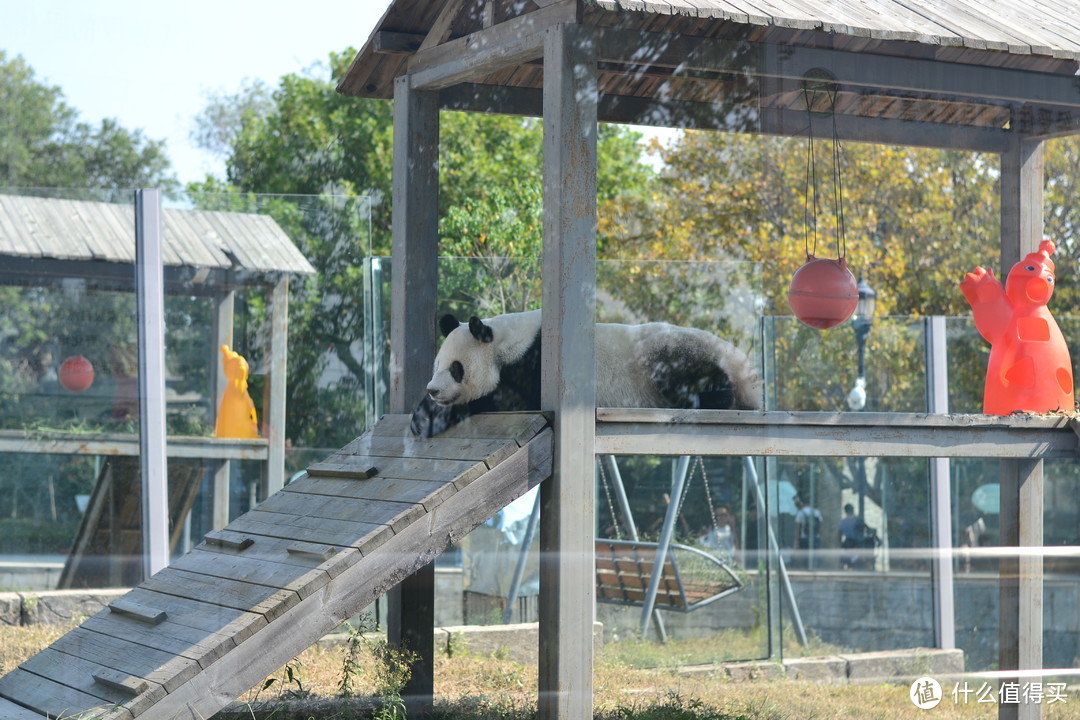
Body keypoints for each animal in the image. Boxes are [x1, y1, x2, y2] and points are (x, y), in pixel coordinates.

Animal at [408, 306, 764, 436]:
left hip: (668, 352)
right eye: (437, 365)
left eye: (457, 369)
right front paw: (422, 414)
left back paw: (712, 398)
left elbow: (506, 400)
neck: (505, 342)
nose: (433, 390)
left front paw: (433, 417)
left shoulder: (533, 365)